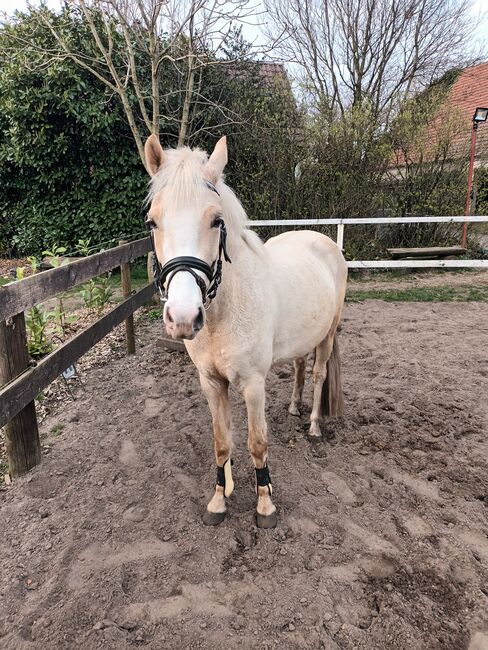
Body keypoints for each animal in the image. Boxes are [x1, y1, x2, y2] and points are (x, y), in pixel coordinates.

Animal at [145, 134, 346, 524]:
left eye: (216, 220)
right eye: (152, 222)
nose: (183, 316)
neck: (222, 316)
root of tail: (323, 240)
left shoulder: (253, 384)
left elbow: (257, 442)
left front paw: (265, 504)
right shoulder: (210, 382)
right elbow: (222, 443)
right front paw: (218, 500)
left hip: (328, 335)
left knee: (317, 374)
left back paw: (314, 425)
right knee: (299, 366)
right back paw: (294, 408)